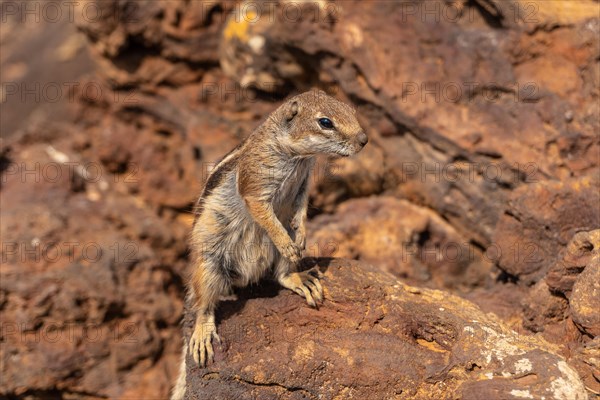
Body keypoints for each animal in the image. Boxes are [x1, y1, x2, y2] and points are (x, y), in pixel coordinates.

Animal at [171, 90, 368, 400]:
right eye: (325, 122)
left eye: (350, 109)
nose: (364, 140)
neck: (297, 157)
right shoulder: (255, 185)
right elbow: (262, 212)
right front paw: (286, 240)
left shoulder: (303, 184)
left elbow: (301, 207)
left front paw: (301, 235)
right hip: (209, 266)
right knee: (204, 304)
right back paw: (202, 332)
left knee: (281, 274)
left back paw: (300, 276)